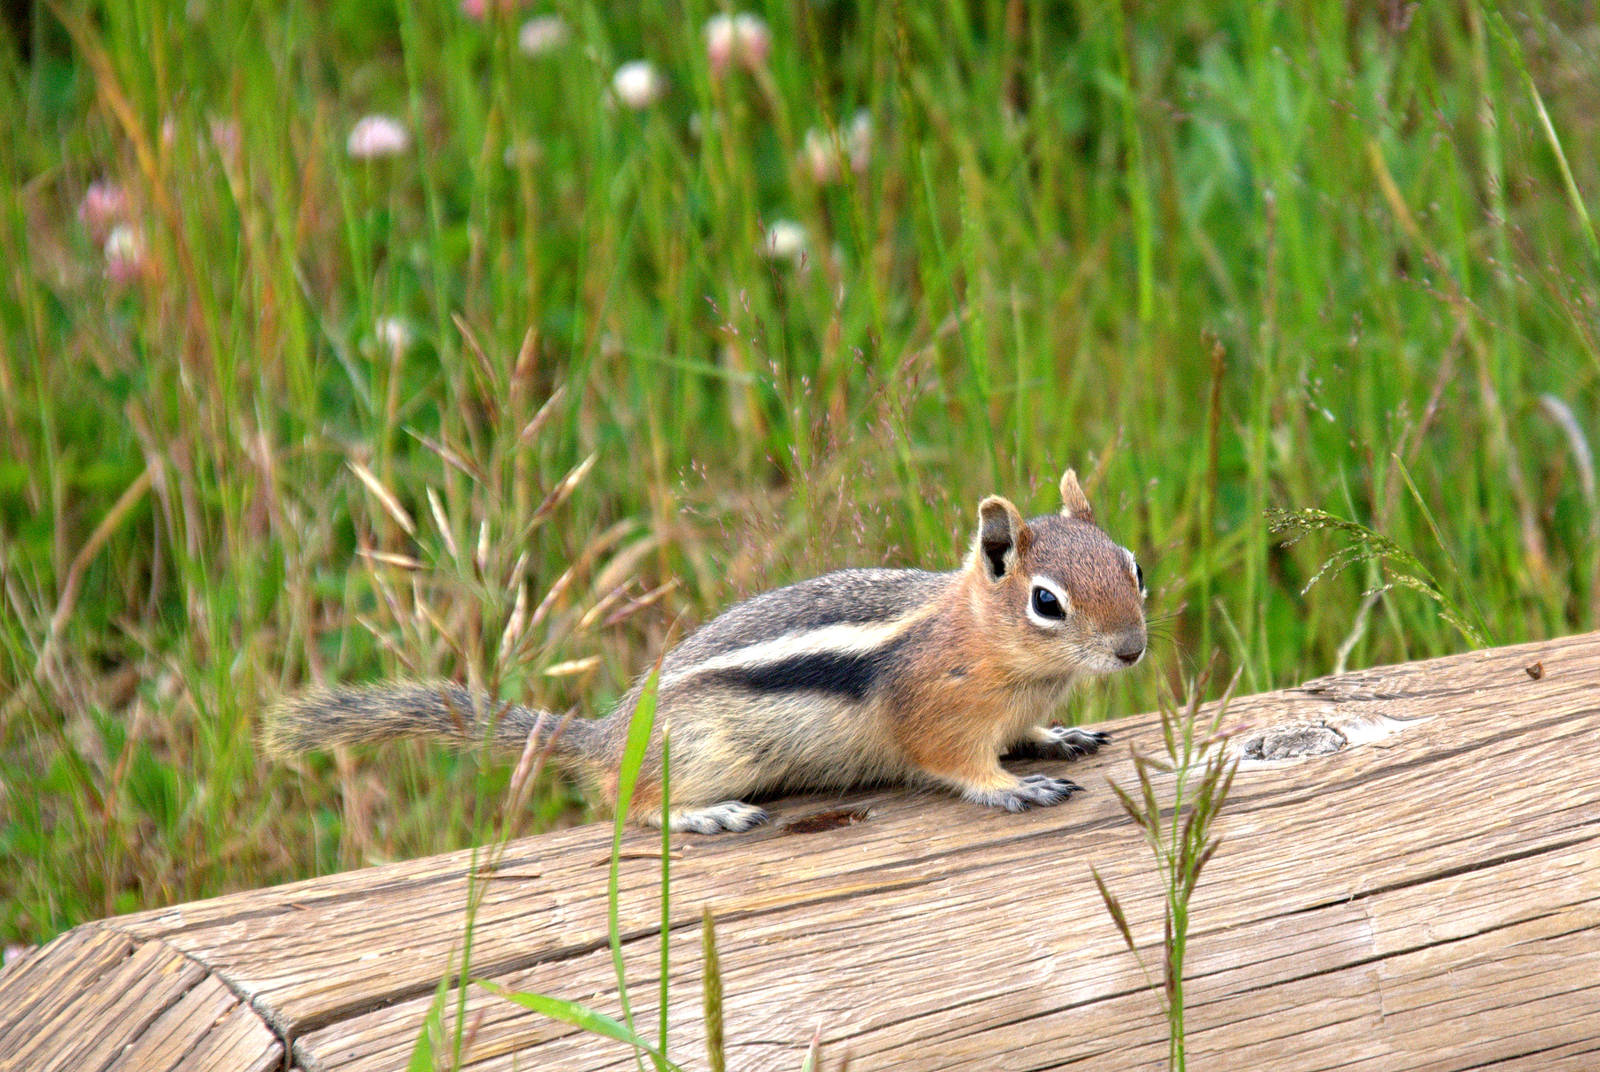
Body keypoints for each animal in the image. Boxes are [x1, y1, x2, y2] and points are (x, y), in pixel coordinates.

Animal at [265, 469, 1147, 834]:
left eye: (1134, 565)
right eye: (1046, 602)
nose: (1134, 651)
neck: (989, 646)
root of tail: (600, 737)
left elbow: (1029, 732)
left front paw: (1056, 738)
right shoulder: (936, 710)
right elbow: (955, 764)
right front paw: (1013, 788)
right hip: (699, 752)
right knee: (630, 807)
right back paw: (707, 814)